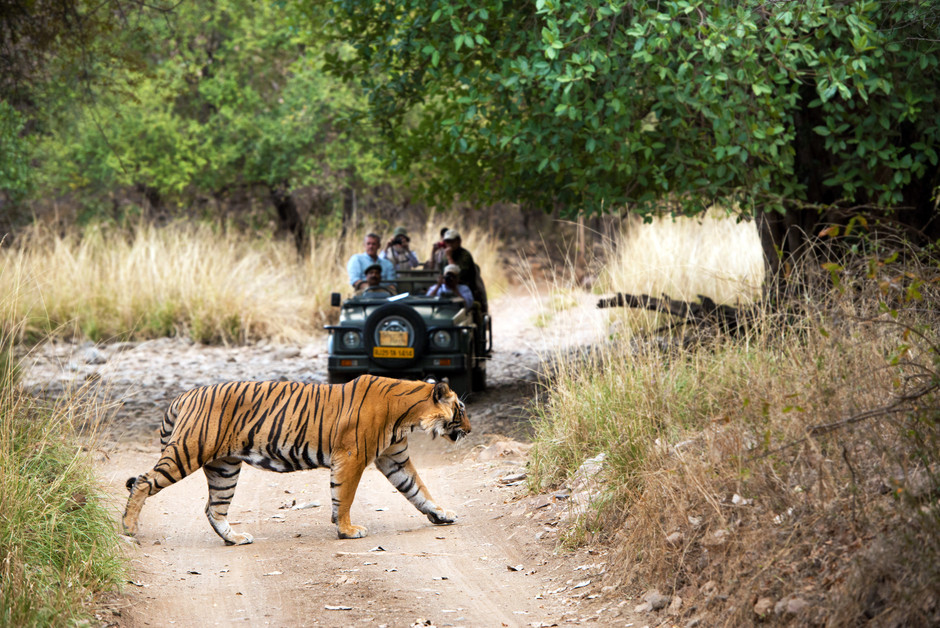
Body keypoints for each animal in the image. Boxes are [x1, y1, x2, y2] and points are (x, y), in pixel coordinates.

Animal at [121, 372, 470, 544]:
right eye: (461, 409)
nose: (469, 429)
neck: (407, 416)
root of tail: (183, 395)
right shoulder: (352, 456)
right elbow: (345, 497)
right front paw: (347, 530)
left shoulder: (394, 458)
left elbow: (419, 490)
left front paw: (441, 515)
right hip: (188, 451)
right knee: (143, 482)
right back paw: (128, 528)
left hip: (224, 468)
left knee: (213, 508)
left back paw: (236, 538)